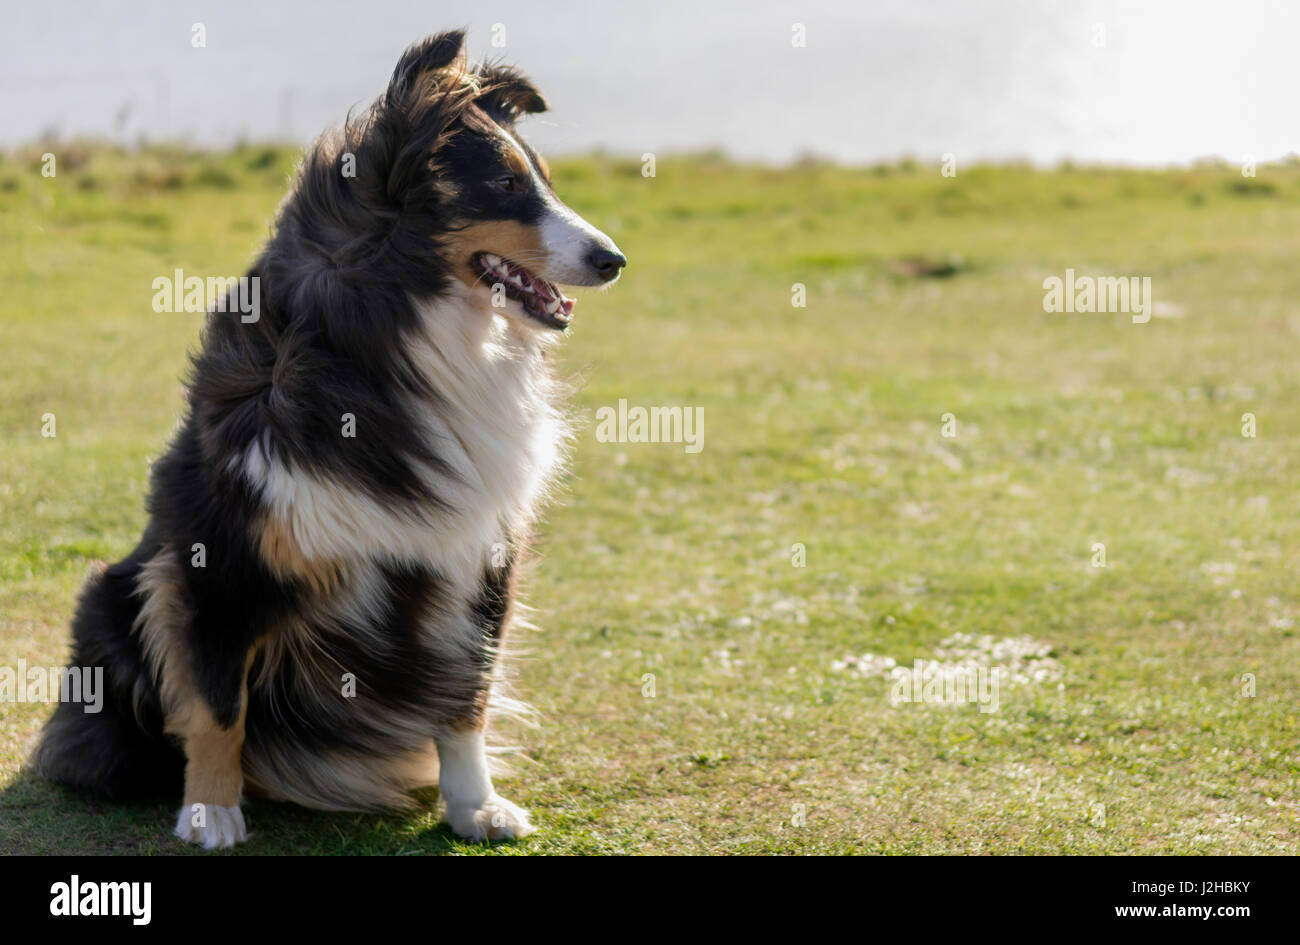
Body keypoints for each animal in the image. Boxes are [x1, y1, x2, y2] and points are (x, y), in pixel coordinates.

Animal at [27, 29, 621, 852]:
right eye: (503, 186)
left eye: (545, 183)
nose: (613, 260)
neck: (395, 329)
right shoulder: (220, 554)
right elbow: (217, 699)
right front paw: (210, 812)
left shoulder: (478, 555)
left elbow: (466, 693)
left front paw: (474, 805)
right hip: (111, 599)